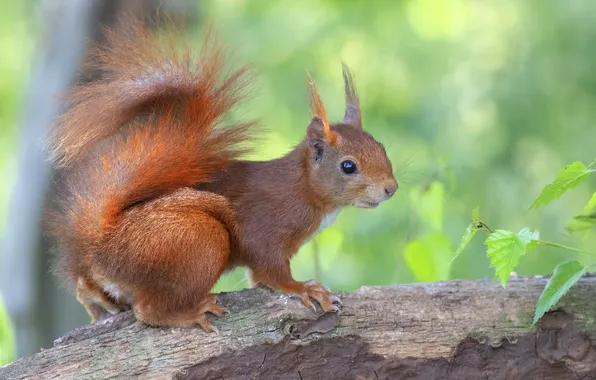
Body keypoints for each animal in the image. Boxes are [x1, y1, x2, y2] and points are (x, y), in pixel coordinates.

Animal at [49, 20, 398, 332]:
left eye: (382, 147)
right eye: (348, 166)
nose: (391, 189)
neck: (304, 189)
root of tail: (100, 249)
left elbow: (259, 278)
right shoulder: (266, 226)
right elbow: (271, 269)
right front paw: (304, 288)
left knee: (91, 292)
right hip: (198, 239)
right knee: (147, 309)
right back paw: (190, 312)